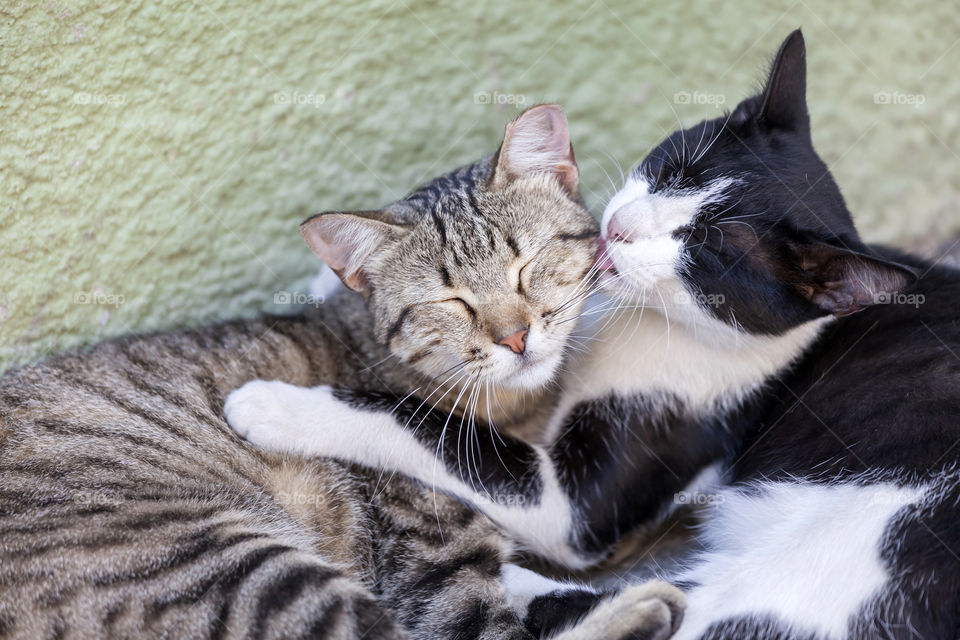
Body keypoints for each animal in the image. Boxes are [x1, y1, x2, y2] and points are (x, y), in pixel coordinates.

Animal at [1, 106, 688, 640]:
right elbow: (484, 619)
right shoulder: (433, 561)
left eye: (528, 264)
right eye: (451, 302)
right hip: (226, 565)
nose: (515, 336)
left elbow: (525, 581)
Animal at [227, 32, 960, 636]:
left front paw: (275, 405)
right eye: (670, 169)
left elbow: (434, 431)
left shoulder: (580, 501)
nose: (621, 229)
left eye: (705, 251)